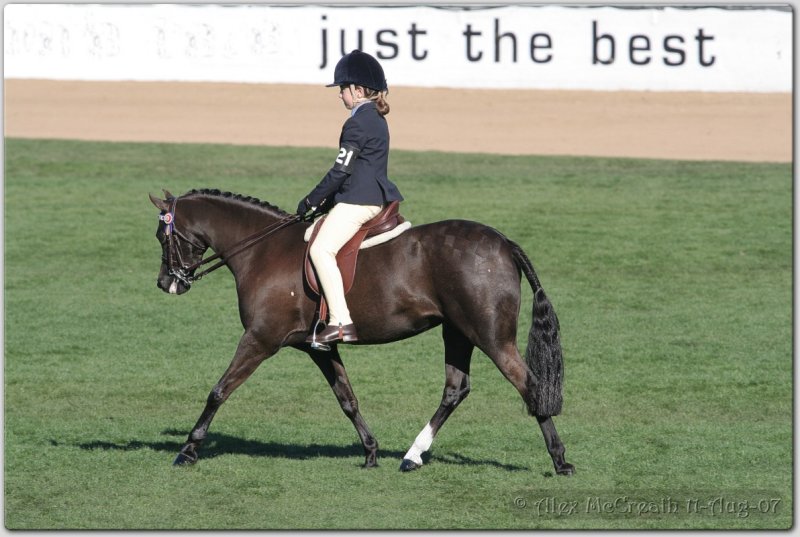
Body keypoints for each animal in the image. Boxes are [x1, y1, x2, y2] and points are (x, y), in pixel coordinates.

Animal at [148, 187, 576, 474]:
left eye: (162, 236)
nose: (166, 283)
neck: (263, 251)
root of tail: (503, 242)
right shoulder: (318, 347)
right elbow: (347, 398)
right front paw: (370, 451)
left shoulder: (260, 339)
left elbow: (219, 390)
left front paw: (188, 450)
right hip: (458, 333)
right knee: (456, 390)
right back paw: (412, 455)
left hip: (490, 337)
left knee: (529, 384)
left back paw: (560, 460)